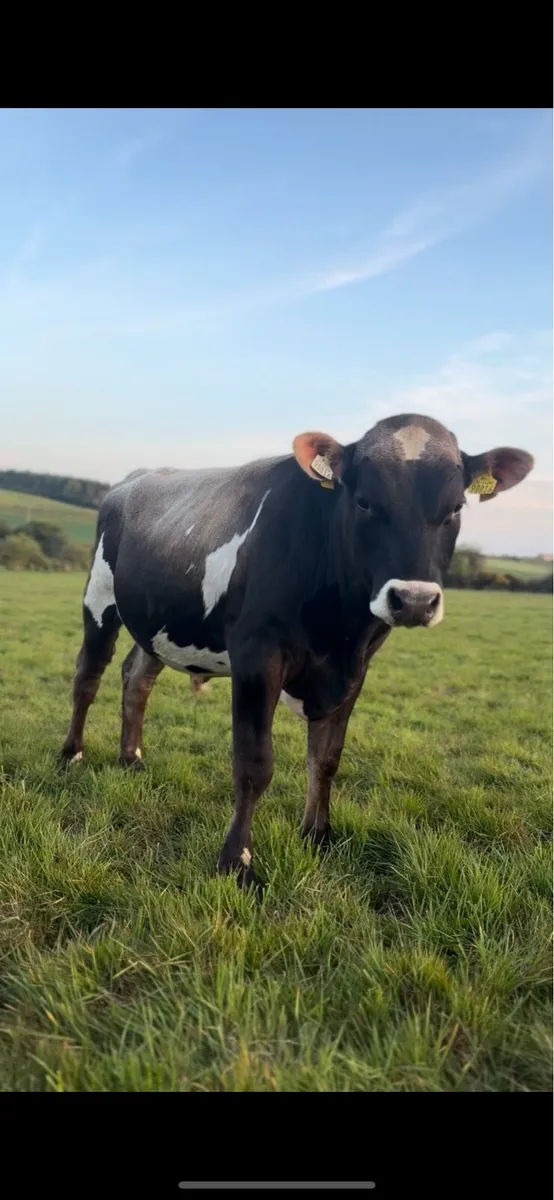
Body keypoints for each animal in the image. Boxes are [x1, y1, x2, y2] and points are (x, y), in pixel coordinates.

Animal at [60, 414, 533, 888]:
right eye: (363, 502)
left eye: (456, 508)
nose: (414, 600)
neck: (337, 629)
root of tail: (135, 479)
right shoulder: (257, 657)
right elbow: (254, 763)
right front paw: (236, 861)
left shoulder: (355, 669)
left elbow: (325, 758)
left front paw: (317, 835)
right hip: (99, 598)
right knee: (88, 677)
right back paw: (72, 754)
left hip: (157, 624)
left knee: (137, 678)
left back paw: (131, 758)